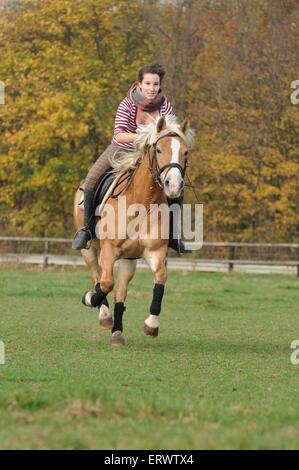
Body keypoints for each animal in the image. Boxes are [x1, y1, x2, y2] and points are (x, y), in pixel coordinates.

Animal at [72, 115, 195, 346]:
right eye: (159, 150)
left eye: (185, 152)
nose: (173, 185)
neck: (142, 203)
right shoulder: (109, 250)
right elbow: (105, 283)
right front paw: (90, 299)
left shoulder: (155, 252)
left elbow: (160, 280)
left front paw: (151, 325)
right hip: (89, 250)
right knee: (97, 276)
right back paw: (105, 316)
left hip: (129, 259)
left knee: (120, 292)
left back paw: (117, 332)